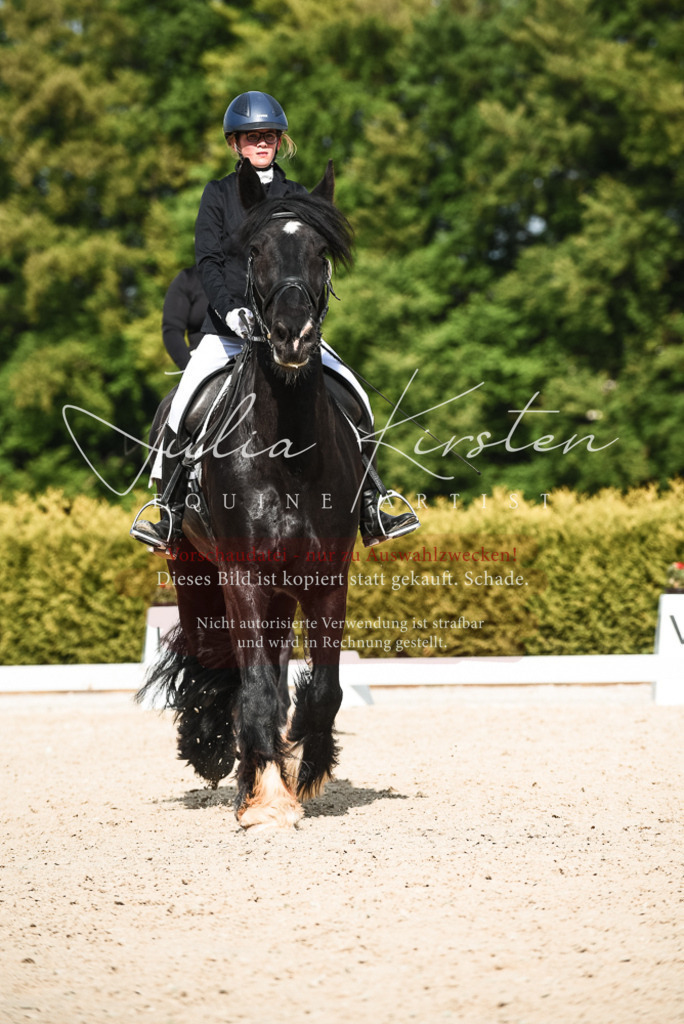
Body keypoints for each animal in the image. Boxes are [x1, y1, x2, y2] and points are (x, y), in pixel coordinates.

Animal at [138, 159, 365, 831]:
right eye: (256, 251)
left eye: (321, 251)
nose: (293, 336)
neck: (288, 451)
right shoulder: (241, 574)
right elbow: (257, 684)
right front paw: (265, 797)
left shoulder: (327, 575)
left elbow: (323, 687)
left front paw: (306, 768)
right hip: (192, 566)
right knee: (220, 659)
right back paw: (223, 753)